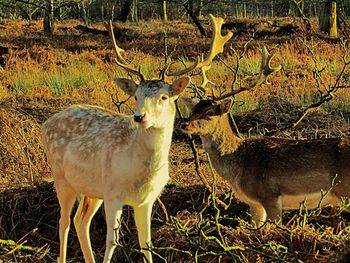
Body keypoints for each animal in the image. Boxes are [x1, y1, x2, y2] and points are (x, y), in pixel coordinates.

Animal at [41, 14, 232, 263]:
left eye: (164, 97)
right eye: (136, 96)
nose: (139, 116)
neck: (139, 175)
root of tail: (45, 123)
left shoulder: (146, 200)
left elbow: (146, 243)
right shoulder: (113, 194)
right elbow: (112, 242)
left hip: (92, 189)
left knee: (80, 221)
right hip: (62, 178)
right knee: (63, 222)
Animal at [180, 50, 350, 227]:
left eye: (209, 113)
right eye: (193, 110)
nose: (184, 124)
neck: (239, 168)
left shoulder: (270, 194)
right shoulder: (254, 203)